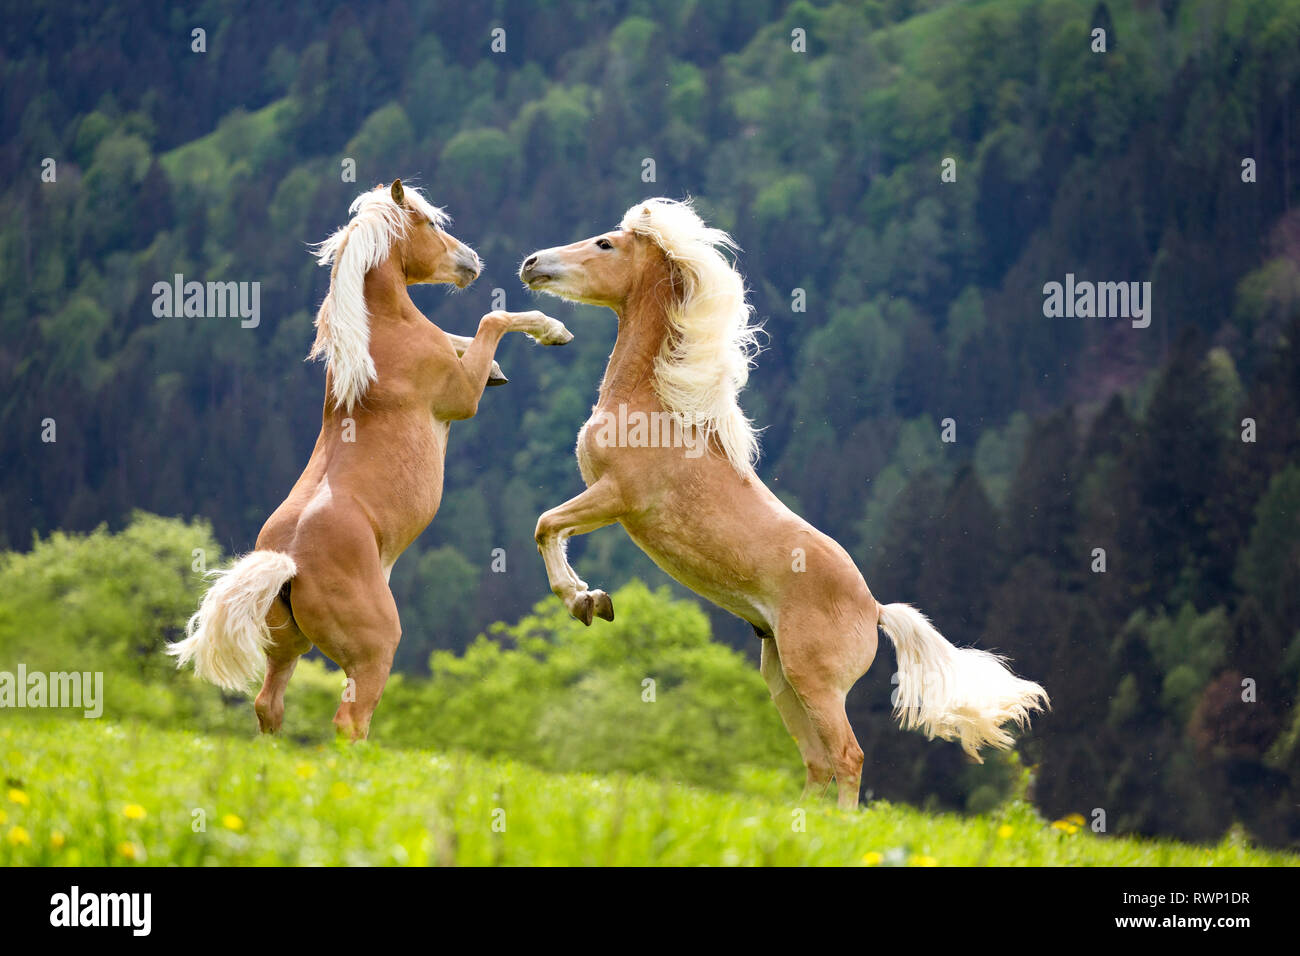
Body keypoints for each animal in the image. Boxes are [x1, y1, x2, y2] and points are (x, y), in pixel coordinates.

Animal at [168, 179, 573, 740]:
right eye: (429, 223)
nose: (471, 260)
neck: (381, 335)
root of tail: (288, 563)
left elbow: (467, 337)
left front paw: (503, 364)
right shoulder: (460, 398)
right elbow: (490, 321)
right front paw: (551, 328)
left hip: (286, 646)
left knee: (269, 705)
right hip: (373, 650)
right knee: (349, 718)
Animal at [519, 198, 1048, 808]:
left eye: (606, 244)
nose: (531, 263)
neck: (654, 406)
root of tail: (875, 609)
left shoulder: (615, 498)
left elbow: (545, 526)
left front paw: (585, 601)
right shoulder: (606, 501)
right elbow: (553, 530)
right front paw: (591, 598)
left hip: (813, 681)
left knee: (847, 756)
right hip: (781, 677)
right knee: (818, 762)